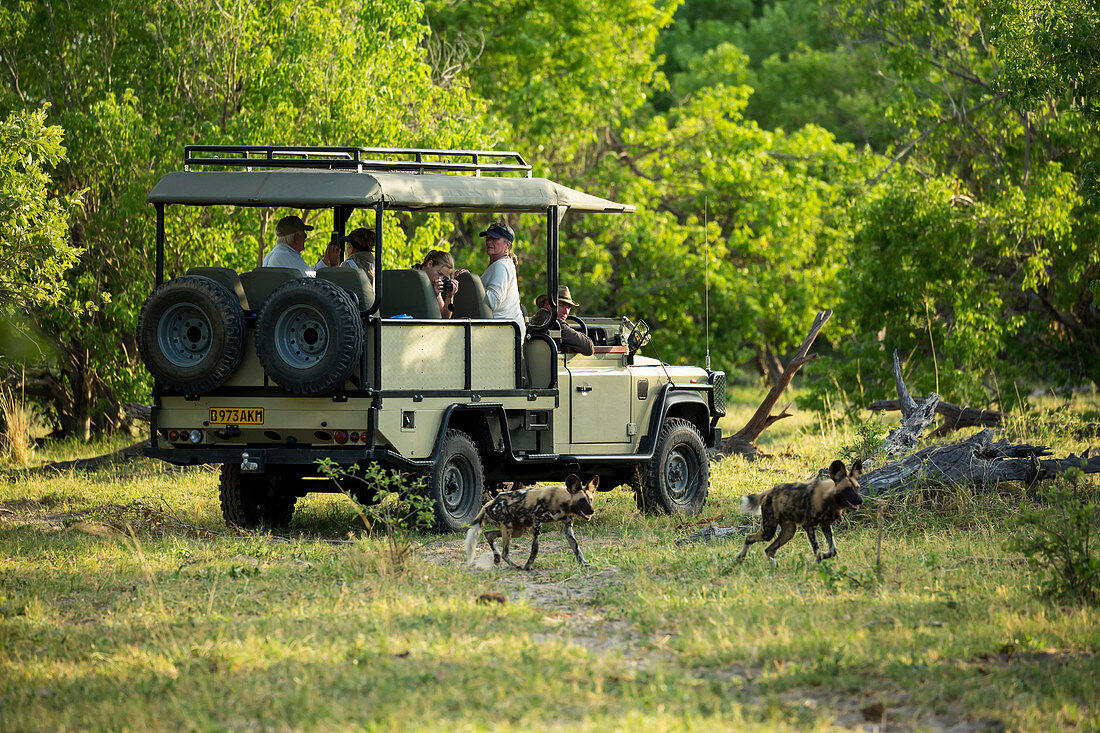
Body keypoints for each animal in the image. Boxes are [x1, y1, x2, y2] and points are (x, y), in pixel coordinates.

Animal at [464, 473, 602, 572]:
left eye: (590, 499)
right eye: (582, 500)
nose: (592, 510)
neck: (562, 501)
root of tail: (489, 503)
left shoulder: (567, 529)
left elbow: (577, 548)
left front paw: (584, 564)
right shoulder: (537, 522)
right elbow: (535, 548)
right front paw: (528, 566)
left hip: (516, 530)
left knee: (489, 534)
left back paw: (497, 558)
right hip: (509, 527)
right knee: (505, 552)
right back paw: (515, 566)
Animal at [734, 460, 862, 561]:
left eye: (857, 488)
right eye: (848, 489)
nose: (860, 501)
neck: (830, 500)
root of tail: (767, 491)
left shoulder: (825, 525)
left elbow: (832, 550)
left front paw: (824, 555)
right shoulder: (808, 526)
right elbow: (817, 549)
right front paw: (819, 561)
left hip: (789, 531)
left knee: (769, 550)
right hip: (768, 532)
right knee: (749, 538)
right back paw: (741, 557)